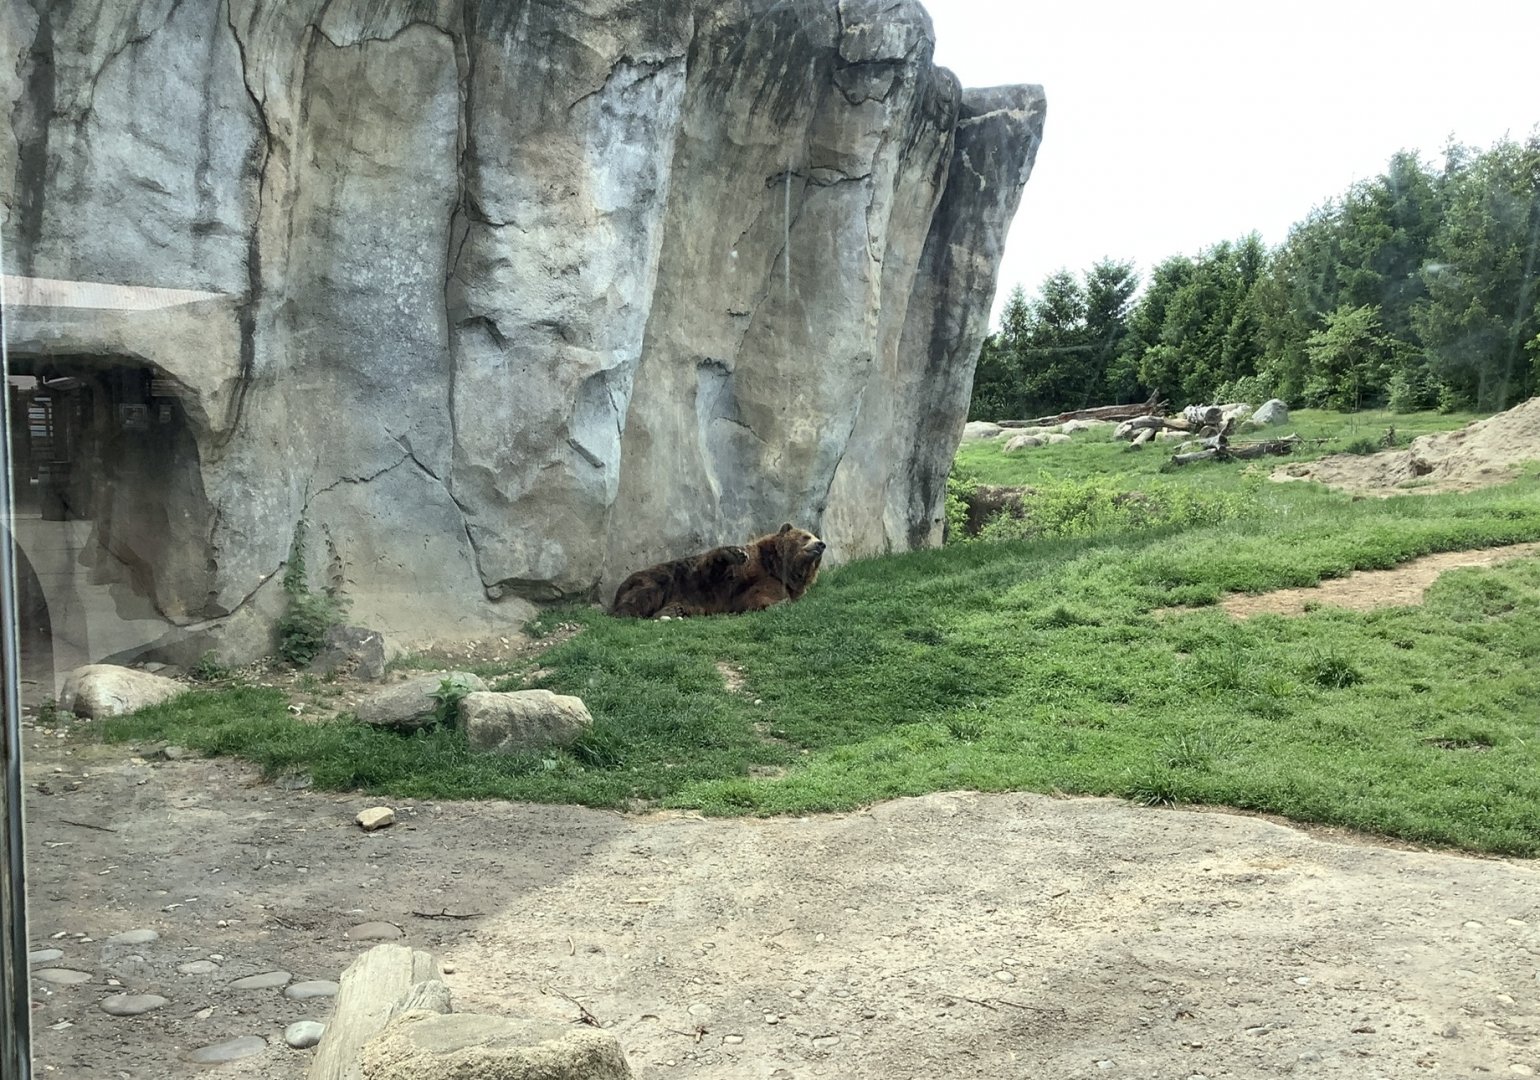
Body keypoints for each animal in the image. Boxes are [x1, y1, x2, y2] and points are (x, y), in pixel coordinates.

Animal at [609, 544, 750, 619]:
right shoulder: (702, 576)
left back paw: (673, 611)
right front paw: (734, 553)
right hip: (650, 579)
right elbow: (713, 566)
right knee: (646, 594)